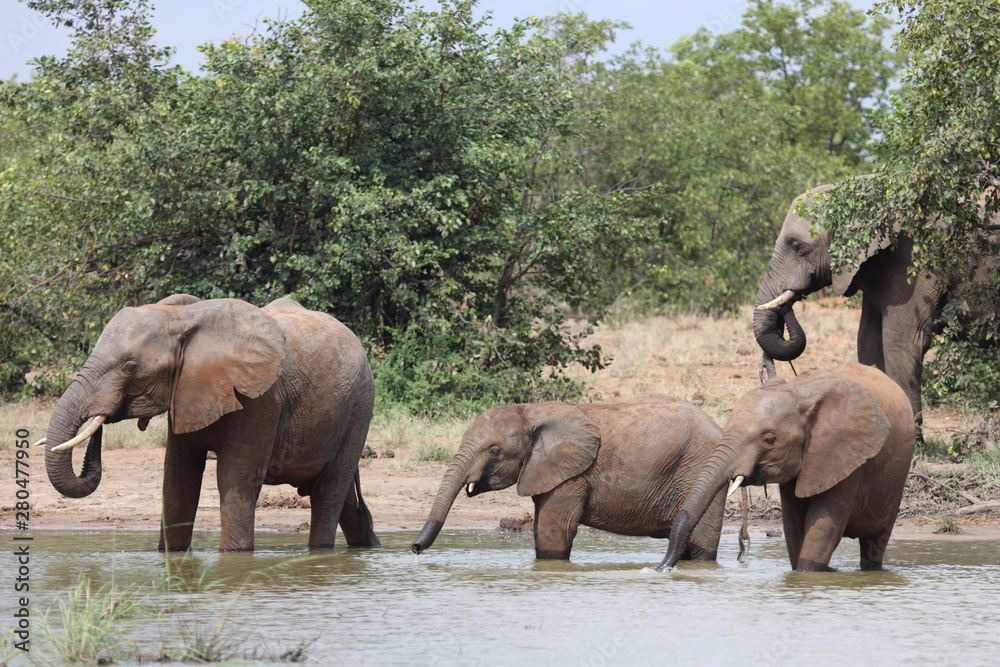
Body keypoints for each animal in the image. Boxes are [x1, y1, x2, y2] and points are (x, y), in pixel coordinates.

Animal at [39, 294, 380, 552]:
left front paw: (235, 557)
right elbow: (178, 477)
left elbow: (235, 477)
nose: (103, 418)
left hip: (359, 407)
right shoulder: (185, 392)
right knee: (344, 497)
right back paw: (368, 546)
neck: (182, 318)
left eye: (130, 367)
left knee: (329, 492)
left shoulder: (260, 397)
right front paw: (173, 555)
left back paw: (321, 551)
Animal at [411, 394, 726, 561]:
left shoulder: (572, 474)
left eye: (495, 451)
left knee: (700, 545)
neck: (531, 411)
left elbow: (555, 530)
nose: (414, 548)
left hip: (697, 467)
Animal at [658, 360, 915, 572]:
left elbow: (823, 526)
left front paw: (807, 575)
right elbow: (793, 525)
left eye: (769, 440)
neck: (798, 392)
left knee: (875, 543)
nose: (660, 568)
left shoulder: (845, 455)